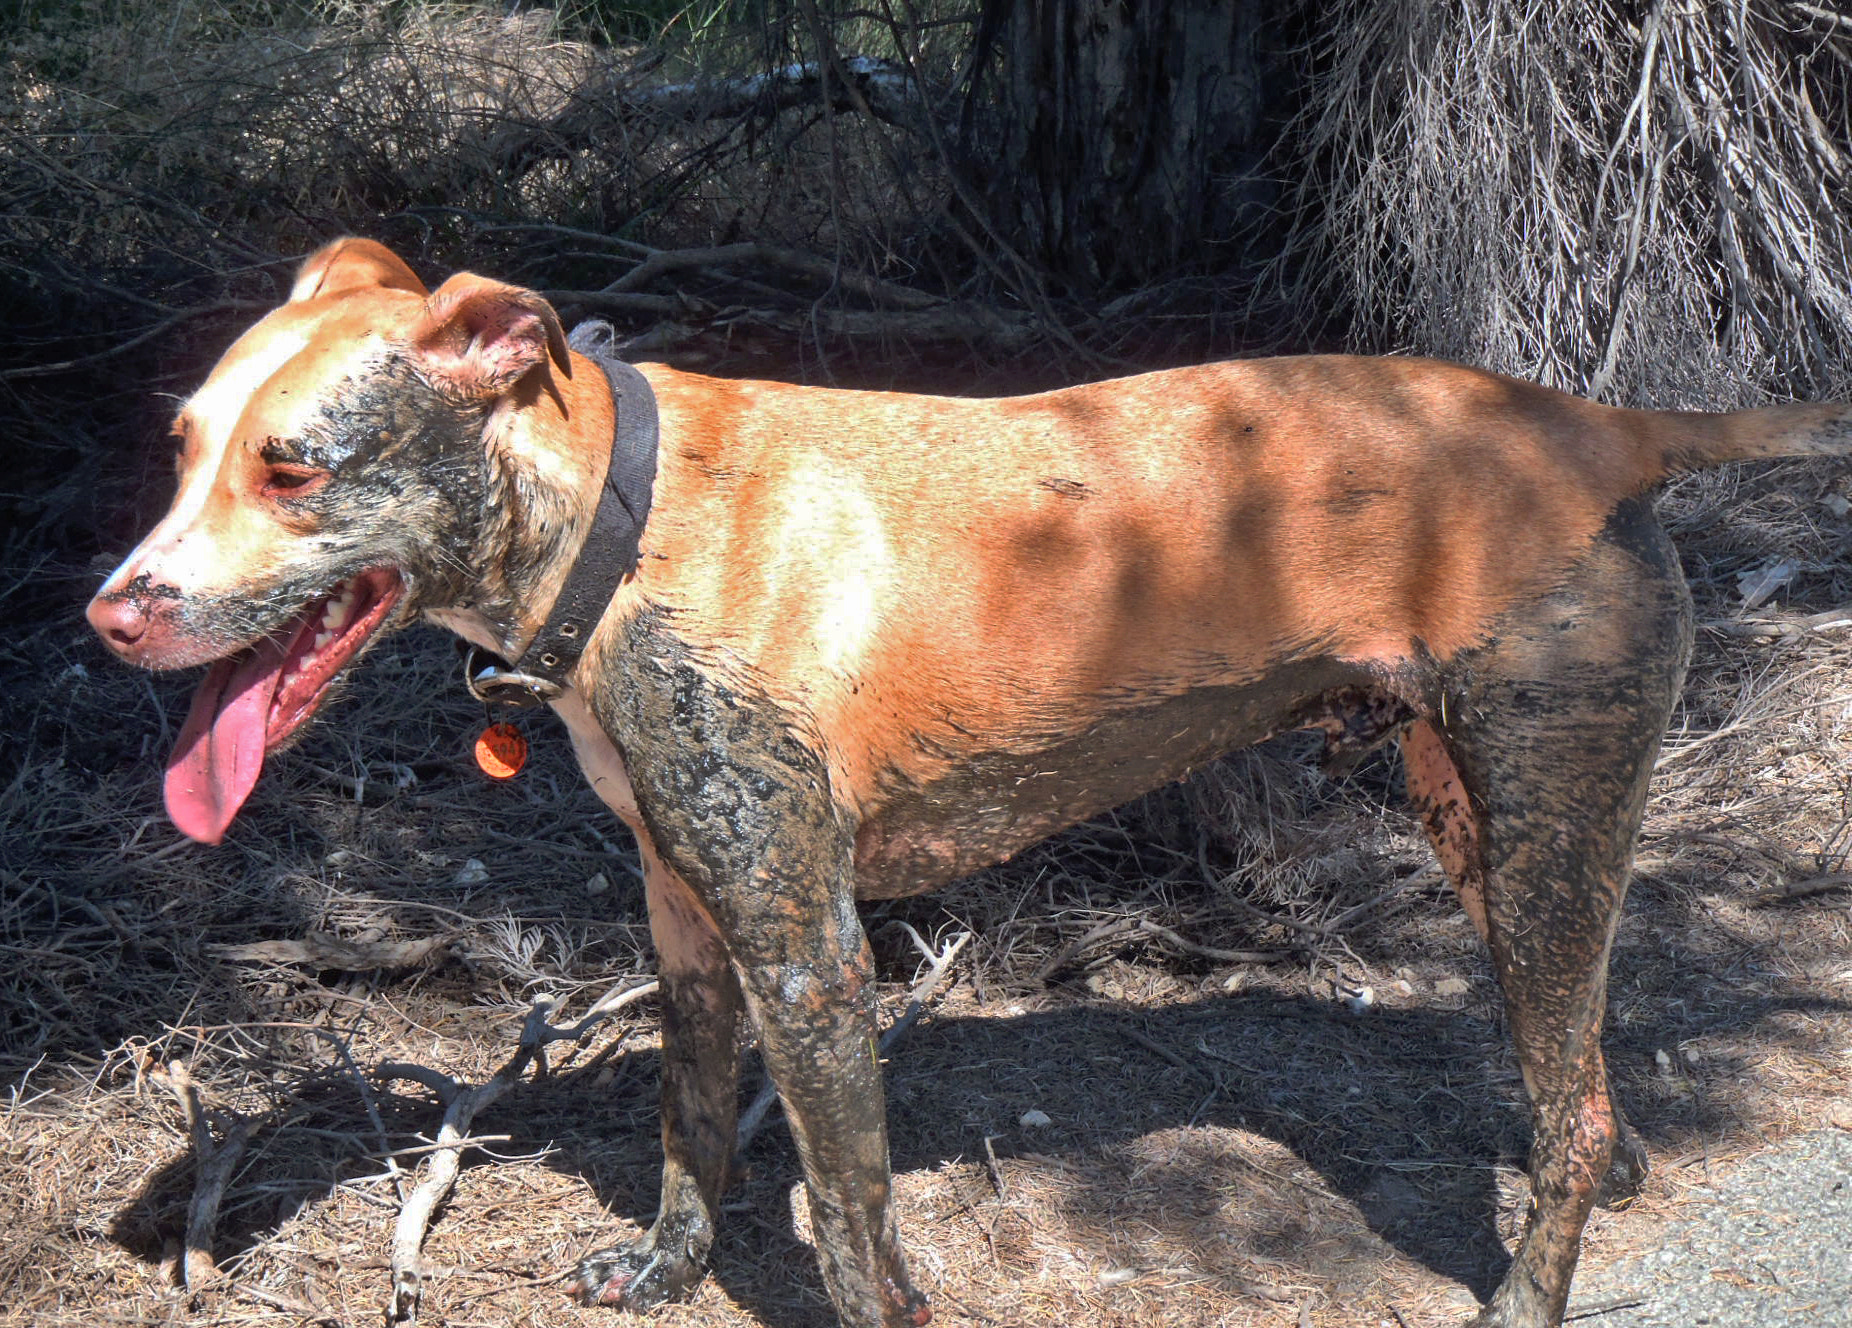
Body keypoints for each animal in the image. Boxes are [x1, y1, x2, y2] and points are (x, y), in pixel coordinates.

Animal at [83, 240, 1852, 1326]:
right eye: (177, 446)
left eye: (292, 469)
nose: (111, 613)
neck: (626, 521)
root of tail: (1599, 428)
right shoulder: (687, 914)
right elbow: (686, 1130)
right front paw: (664, 1274)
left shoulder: (810, 956)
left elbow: (853, 1224)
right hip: (1486, 822)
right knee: (1585, 1085)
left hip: (1542, 819)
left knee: (1576, 1099)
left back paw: (1532, 1286)